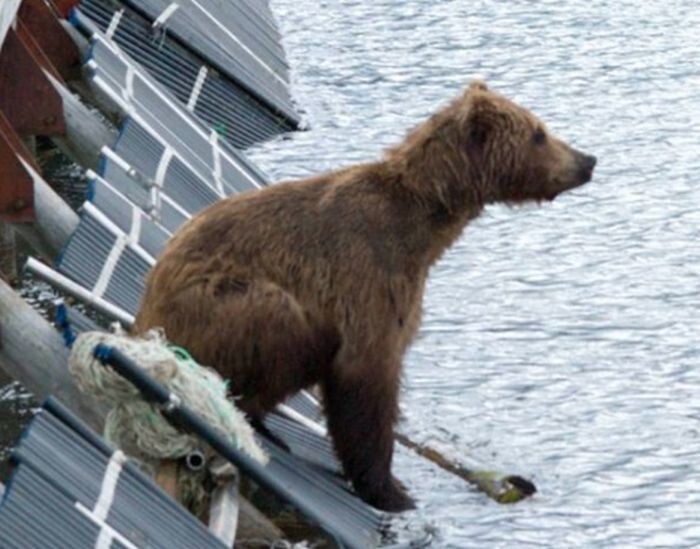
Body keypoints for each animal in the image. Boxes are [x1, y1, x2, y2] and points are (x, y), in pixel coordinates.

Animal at [135, 81, 596, 510]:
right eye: (538, 133)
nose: (587, 160)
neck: (427, 227)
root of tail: (143, 316)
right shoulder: (369, 276)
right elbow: (367, 376)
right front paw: (391, 490)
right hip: (216, 303)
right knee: (281, 322)